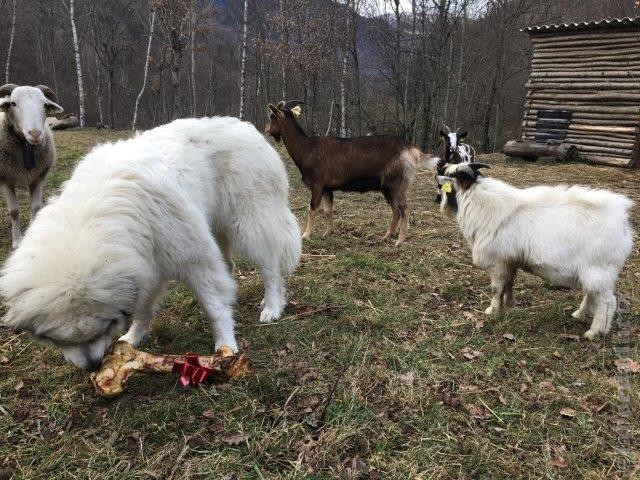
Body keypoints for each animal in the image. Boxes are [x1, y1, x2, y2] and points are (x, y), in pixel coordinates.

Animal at [0, 83, 63, 248]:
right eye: (13, 103)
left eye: (44, 105)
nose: (35, 133)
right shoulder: (6, 180)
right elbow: (14, 211)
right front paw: (17, 241)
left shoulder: (38, 178)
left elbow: (35, 207)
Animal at [0, 116, 302, 372]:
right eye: (59, 340)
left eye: (101, 330)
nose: (92, 367)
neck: (92, 219)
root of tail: (248, 128)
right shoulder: (144, 267)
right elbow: (142, 310)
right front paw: (132, 338)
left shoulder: (194, 258)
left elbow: (214, 308)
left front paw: (226, 345)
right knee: (228, 266)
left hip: (248, 226)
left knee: (270, 270)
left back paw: (272, 306)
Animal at [264, 100, 430, 246]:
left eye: (272, 116)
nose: (266, 130)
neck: (306, 149)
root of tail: (411, 149)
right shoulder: (327, 188)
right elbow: (328, 210)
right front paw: (328, 232)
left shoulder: (317, 185)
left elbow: (312, 208)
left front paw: (306, 234)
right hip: (386, 187)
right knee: (395, 209)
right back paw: (387, 236)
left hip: (397, 184)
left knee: (404, 209)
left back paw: (399, 241)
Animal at [438, 163, 632, 340]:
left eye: (453, 176)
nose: (438, 177)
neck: (482, 205)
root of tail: (623, 225)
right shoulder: (510, 261)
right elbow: (509, 284)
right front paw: (509, 306)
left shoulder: (498, 262)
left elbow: (496, 289)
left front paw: (492, 311)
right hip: (593, 272)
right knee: (592, 295)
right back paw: (579, 315)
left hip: (599, 270)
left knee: (607, 302)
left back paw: (595, 332)